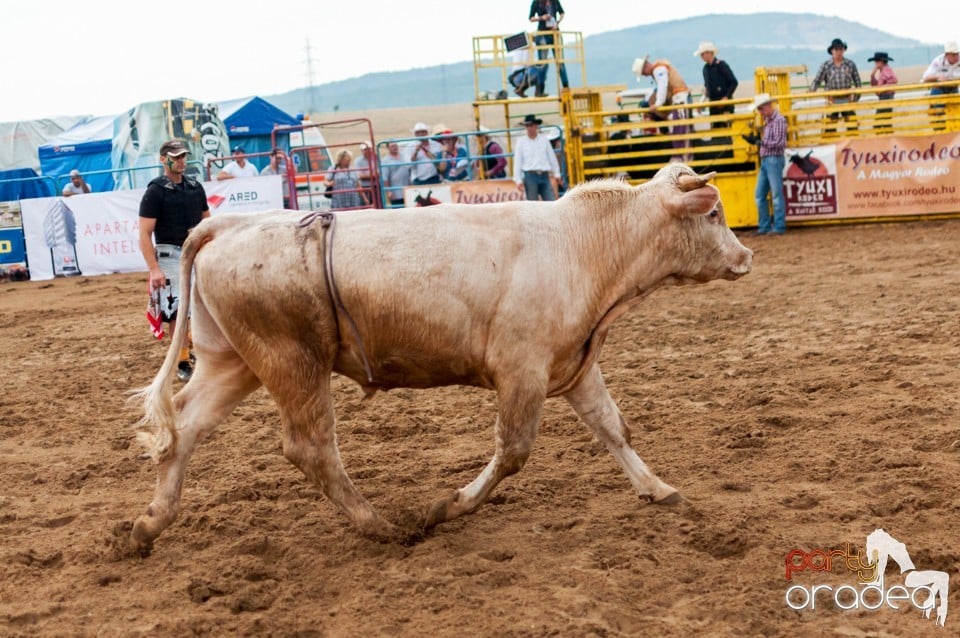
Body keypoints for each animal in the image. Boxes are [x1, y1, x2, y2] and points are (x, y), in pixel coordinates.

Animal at [131, 164, 752, 556]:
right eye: (714, 214)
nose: (746, 255)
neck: (584, 243)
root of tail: (228, 224)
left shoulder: (571, 364)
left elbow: (612, 427)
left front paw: (659, 489)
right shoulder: (521, 371)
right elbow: (513, 452)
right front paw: (447, 508)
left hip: (232, 361)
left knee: (183, 426)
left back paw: (149, 524)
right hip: (292, 362)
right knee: (311, 448)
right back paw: (383, 526)